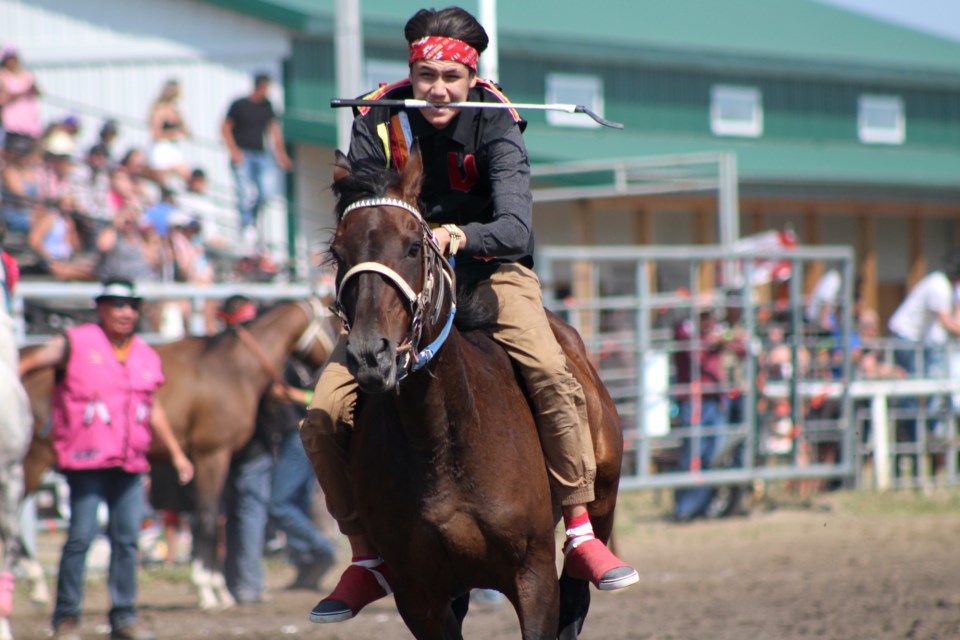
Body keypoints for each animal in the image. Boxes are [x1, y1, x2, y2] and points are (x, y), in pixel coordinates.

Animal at [17, 300, 338, 608]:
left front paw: (219, 588)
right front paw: (208, 590)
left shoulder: (211, 461)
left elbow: (212, 520)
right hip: (34, 461)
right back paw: (36, 583)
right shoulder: (211, 455)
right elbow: (208, 518)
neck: (230, 369)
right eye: (335, 323)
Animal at [326, 151, 628, 640]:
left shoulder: (534, 577)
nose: (370, 354)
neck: (443, 439)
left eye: (413, 247)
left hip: (601, 501)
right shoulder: (420, 598)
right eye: (338, 253)